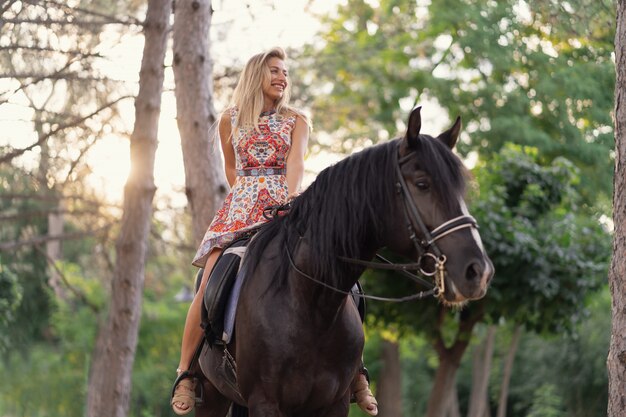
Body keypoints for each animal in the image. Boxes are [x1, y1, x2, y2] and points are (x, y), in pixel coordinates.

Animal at [195, 108, 492, 416]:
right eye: (422, 184)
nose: (477, 271)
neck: (309, 302)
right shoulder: (264, 402)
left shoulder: (334, 403)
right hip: (214, 396)